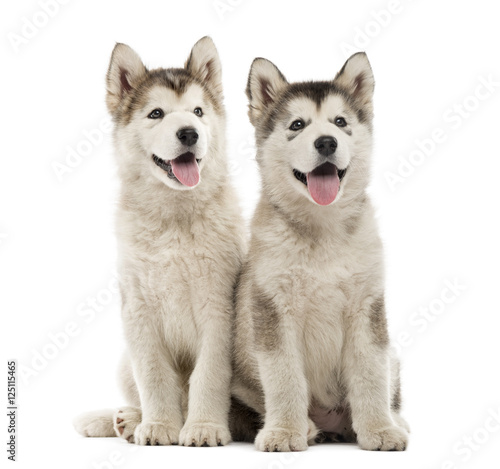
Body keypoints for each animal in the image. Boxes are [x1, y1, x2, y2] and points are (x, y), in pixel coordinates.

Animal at [231, 51, 410, 450]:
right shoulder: (273, 310)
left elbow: (370, 375)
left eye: (340, 122)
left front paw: (380, 429)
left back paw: (394, 421)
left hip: (393, 357)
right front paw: (284, 431)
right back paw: (306, 428)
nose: (327, 142)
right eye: (297, 124)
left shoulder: (366, 308)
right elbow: (284, 378)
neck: (322, 230)